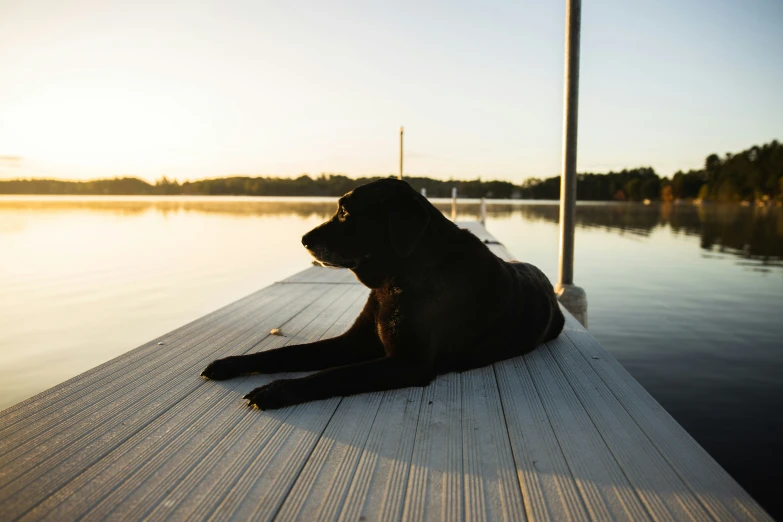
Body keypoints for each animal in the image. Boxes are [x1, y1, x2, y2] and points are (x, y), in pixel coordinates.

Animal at [199, 178, 560, 406]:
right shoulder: (354, 342)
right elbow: (284, 353)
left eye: (345, 211)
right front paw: (230, 363)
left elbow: (333, 375)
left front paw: (277, 391)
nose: (302, 239)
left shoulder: (408, 361)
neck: (398, 280)